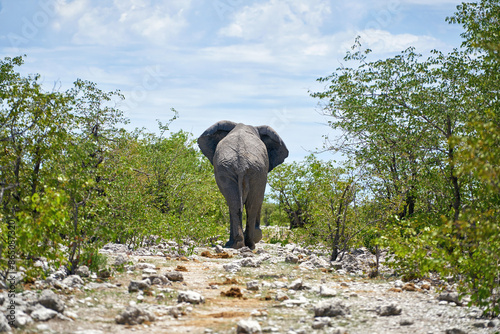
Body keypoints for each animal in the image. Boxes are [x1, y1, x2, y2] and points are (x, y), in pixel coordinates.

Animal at [196, 121, 288, 249]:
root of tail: (241, 164)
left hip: (234, 169)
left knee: (236, 203)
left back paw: (238, 244)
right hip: (253, 170)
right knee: (250, 205)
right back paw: (248, 244)